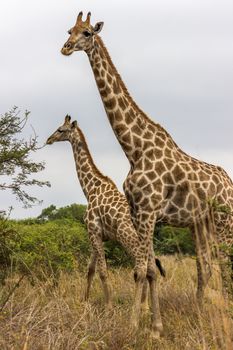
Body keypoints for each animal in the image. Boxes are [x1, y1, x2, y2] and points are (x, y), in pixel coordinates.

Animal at [46, 115, 165, 336]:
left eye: (60, 130)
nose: (48, 139)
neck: (90, 188)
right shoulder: (100, 235)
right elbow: (90, 269)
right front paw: (84, 301)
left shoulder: (92, 230)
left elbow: (102, 270)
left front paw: (108, 308)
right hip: (146, 241)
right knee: (151, 269)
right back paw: (148, 314)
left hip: (128, 237)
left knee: (141, 268)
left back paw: (140, 315)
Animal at [61, 9, 233, 330]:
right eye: (69, 30)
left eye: (87, 33)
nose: (65, 48)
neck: (134, 150)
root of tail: (229, 183)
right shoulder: (138, 213)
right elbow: (149, 269)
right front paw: (154, 325)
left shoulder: (149, 211)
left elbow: (142, 269)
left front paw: (135, 326)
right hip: (201, 224)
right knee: (206, 265)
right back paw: (202, 310)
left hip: (223, 220)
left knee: (225, 263)